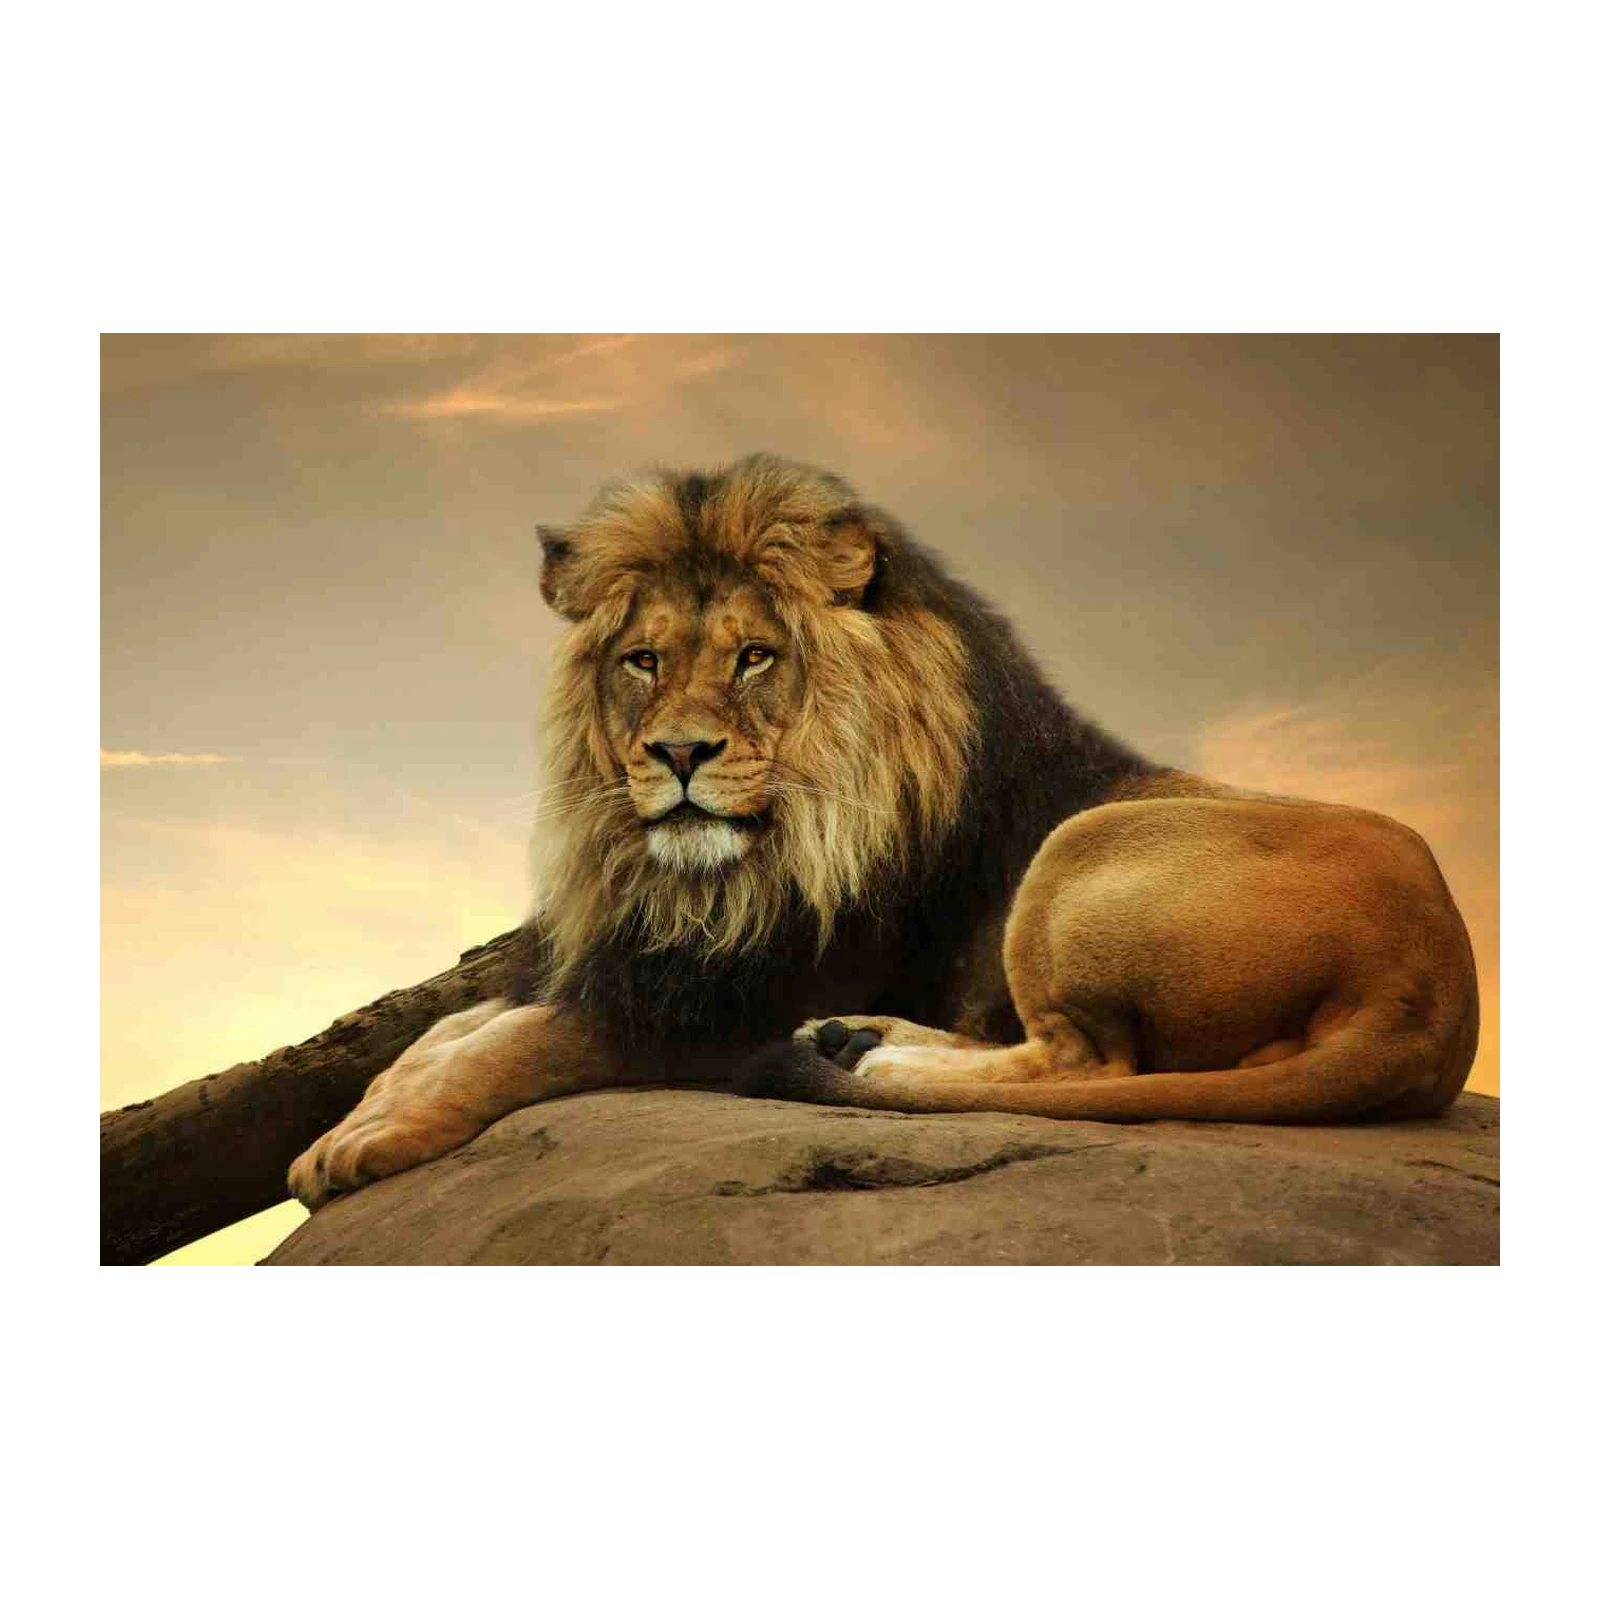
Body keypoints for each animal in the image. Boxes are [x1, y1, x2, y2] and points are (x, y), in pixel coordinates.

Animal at [287, 453, 1479, 1211]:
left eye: (754, 657)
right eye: (643, 661)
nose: (678, 755)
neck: (720, 876)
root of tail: (1433, 993)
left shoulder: (724, 1001)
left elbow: (519, 1042)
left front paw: (371, 1139)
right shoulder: (649, 958)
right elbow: (453, 1028)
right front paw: (357, 1116)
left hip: (1079, 850)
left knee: (1084, 1060)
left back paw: (861, 1052)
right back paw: (855, 1042)